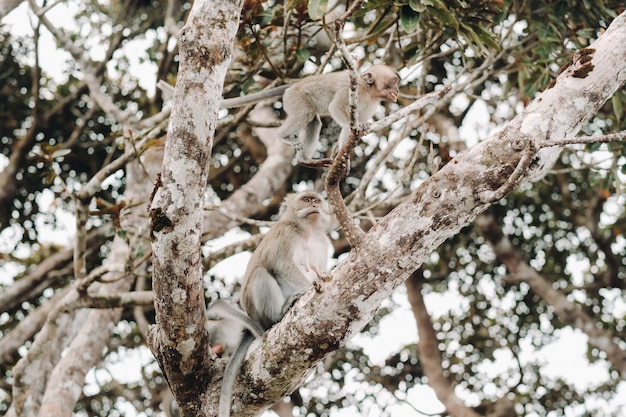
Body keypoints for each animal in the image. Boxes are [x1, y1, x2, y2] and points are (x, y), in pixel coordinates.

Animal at [217, 191, 332, 416]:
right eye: (306, 200)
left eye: (317, 200)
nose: (314, 205)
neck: (306, 233)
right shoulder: (285, 234)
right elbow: (283, 265)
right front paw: (308, 289)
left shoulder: (322, 242)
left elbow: (318, 269)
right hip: (258, 311)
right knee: (260, 273)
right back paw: (278, 315)